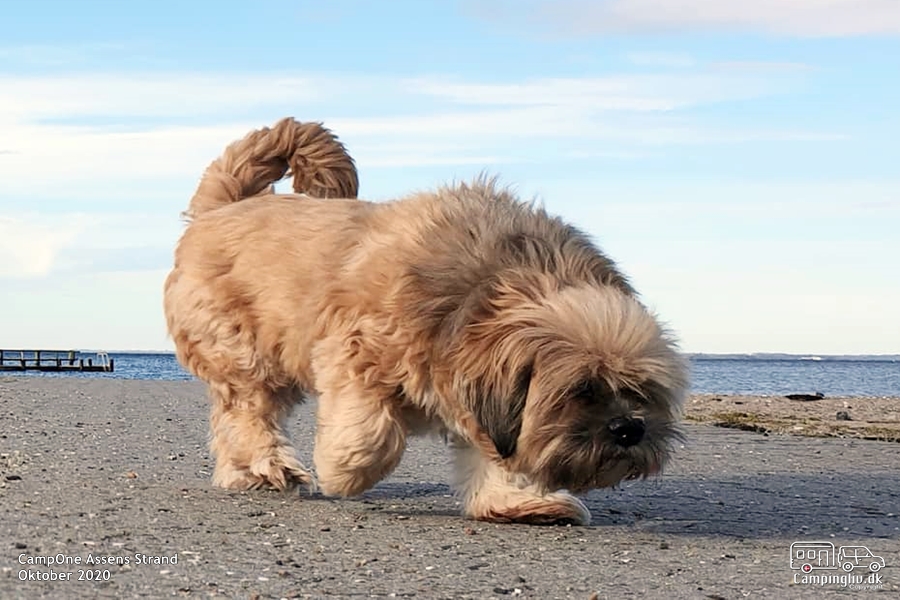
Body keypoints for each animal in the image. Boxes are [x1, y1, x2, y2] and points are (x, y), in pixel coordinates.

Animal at [165, 117, 688, 524]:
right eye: (581, 391)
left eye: (644, 393)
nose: (628, 428)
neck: (486, 290)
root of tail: (222, 207)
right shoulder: (358, 351)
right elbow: (372, 432)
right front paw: (347, 470)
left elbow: (492, 451)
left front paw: (516, 501)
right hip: (245, 353)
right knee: (248, 412)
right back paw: (268, 464)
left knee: (231, 420)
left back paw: (243, 473)